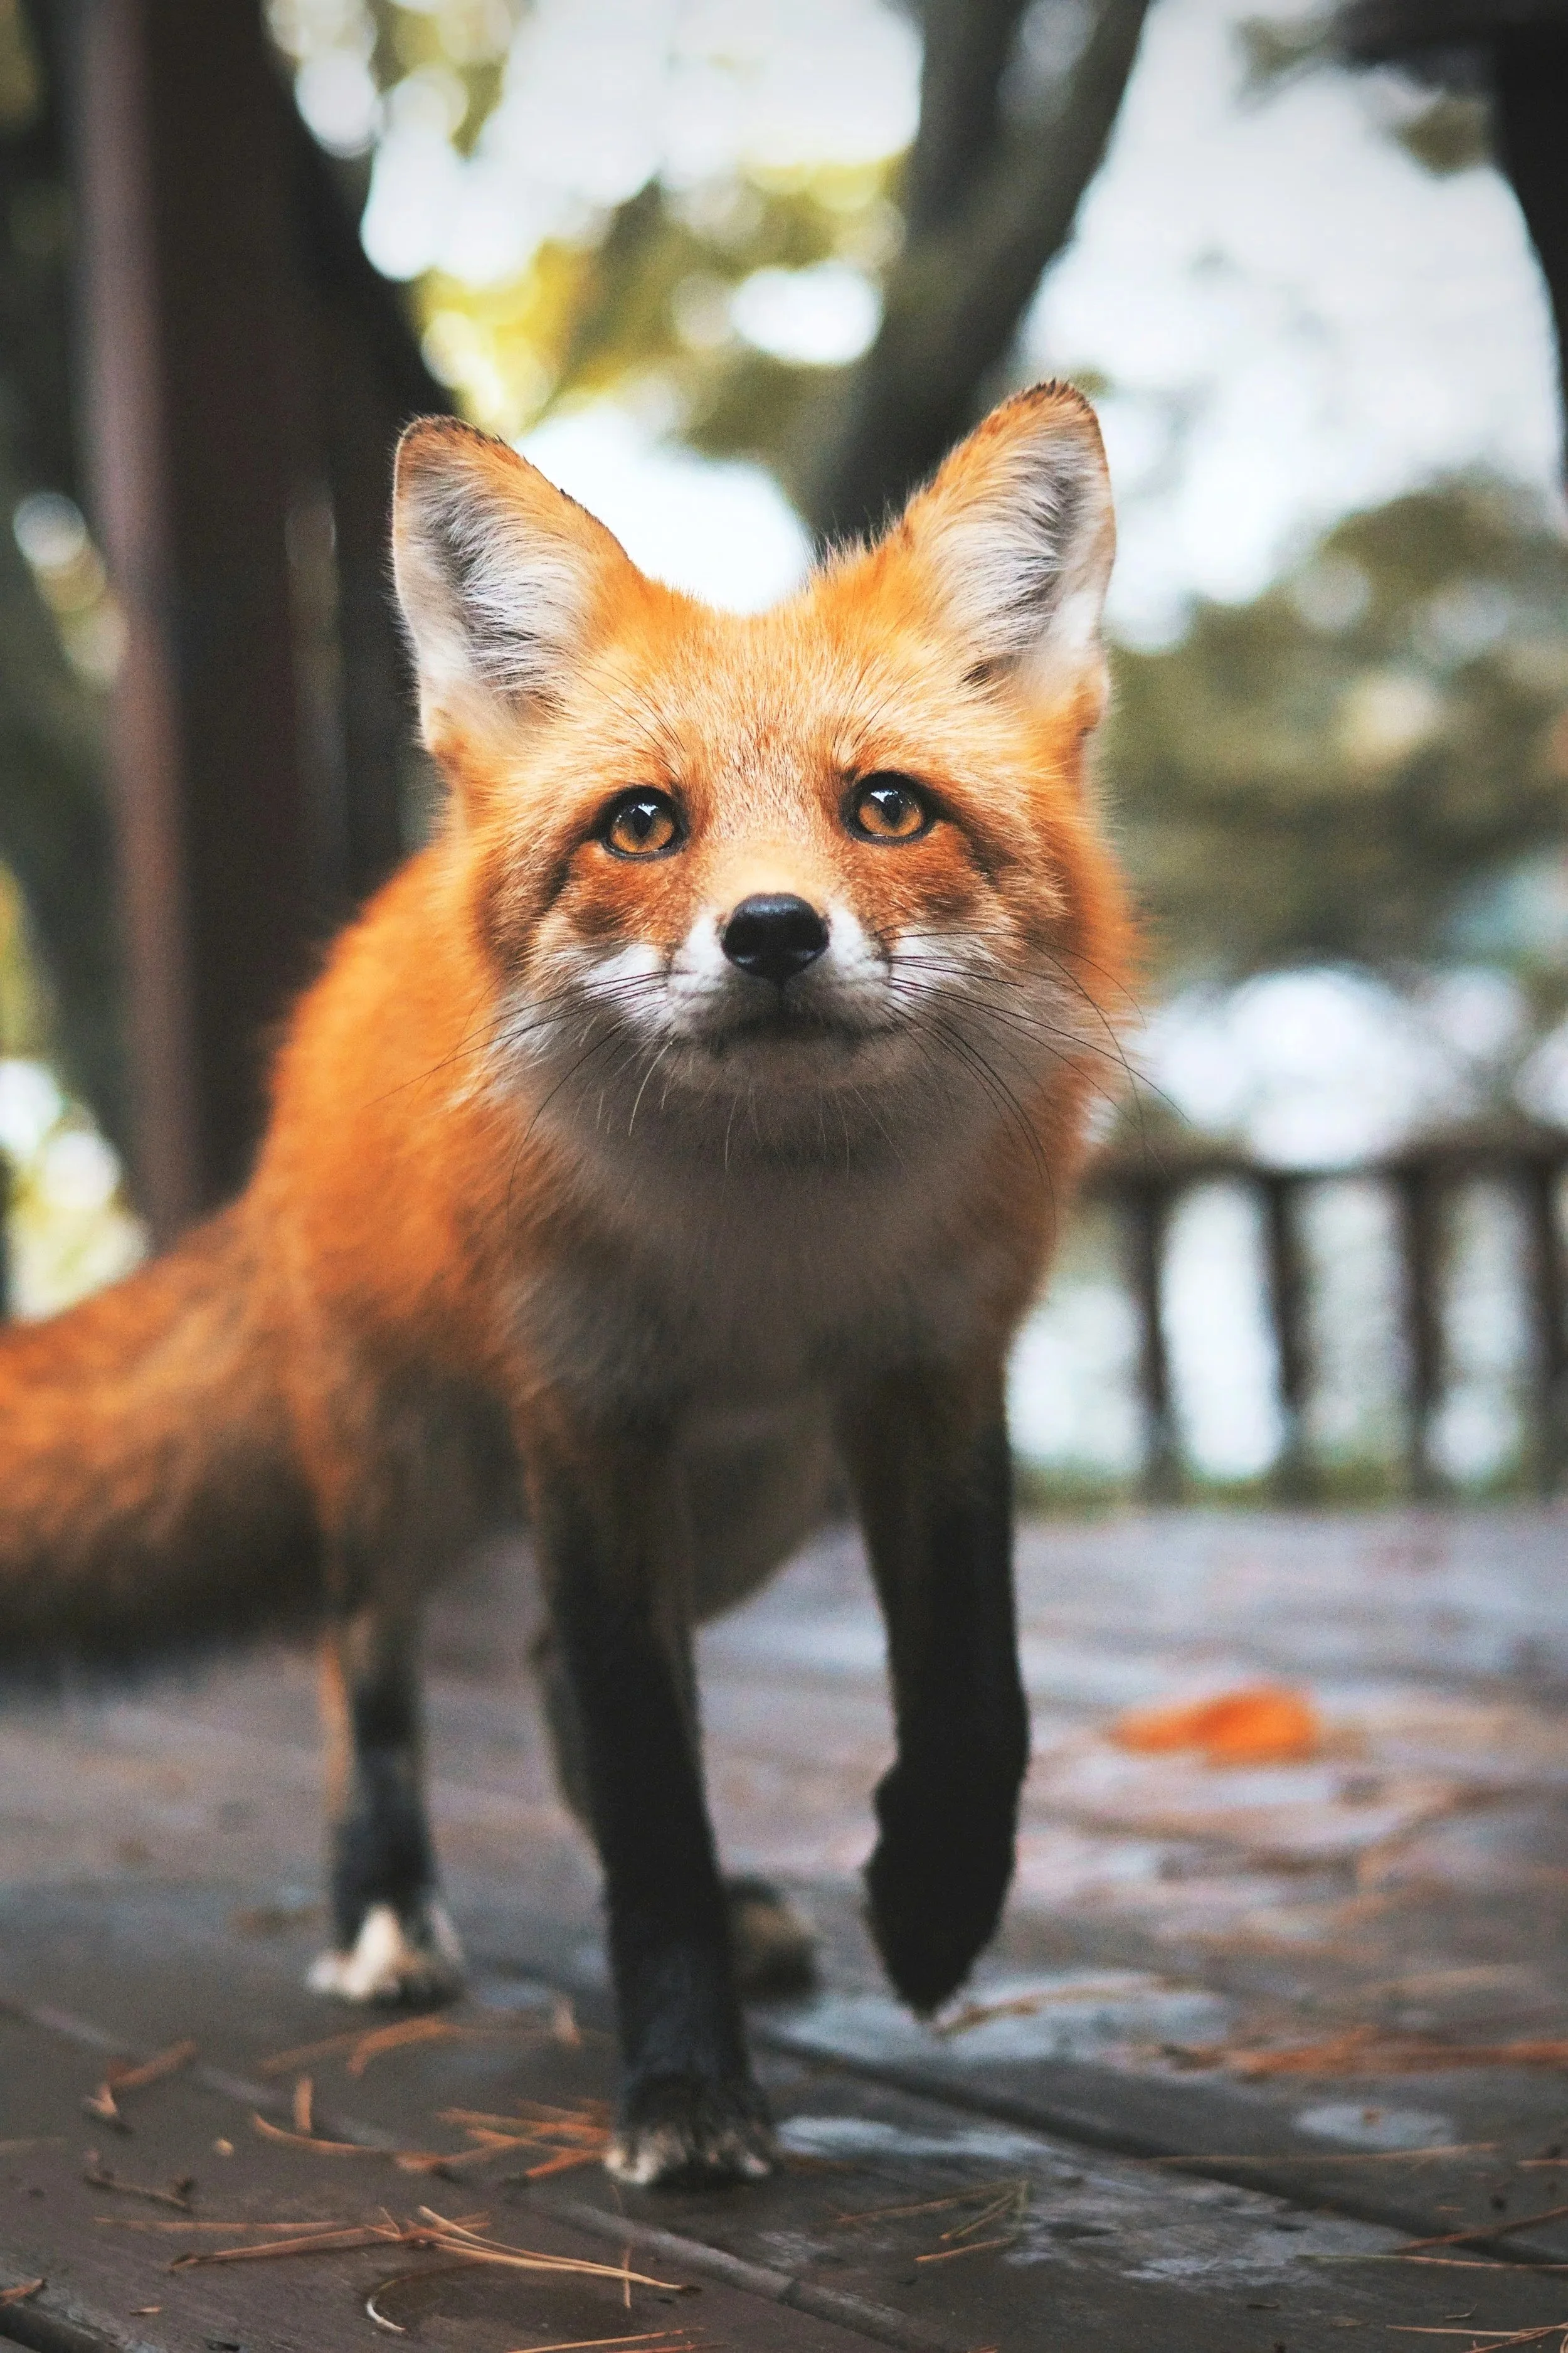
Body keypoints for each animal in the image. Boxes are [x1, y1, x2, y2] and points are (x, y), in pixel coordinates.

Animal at [0, 383, 1132, 2187]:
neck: (768, 1248)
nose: (770, 931)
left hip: (752, 1499)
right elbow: (651, 1790)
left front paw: (933, 1911)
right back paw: (384, 1912)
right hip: (412, 1468)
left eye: (887, 808)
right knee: (364, 1665)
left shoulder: (932, 1377)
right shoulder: (584, 1411)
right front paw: (682, 2090)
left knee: (535, 1666)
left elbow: (974, 1701)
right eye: (642, 823)